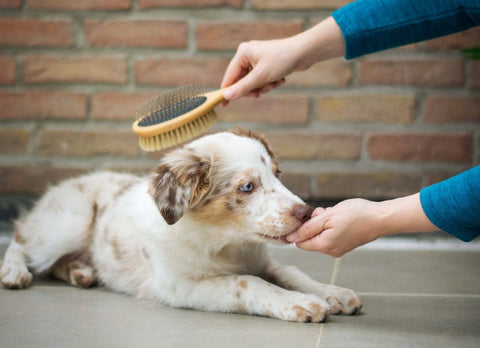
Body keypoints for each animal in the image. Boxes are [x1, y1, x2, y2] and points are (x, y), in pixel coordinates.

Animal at [0, 129, 360, 322]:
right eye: (247, 187)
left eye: (277, 174)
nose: (307, 212)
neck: (224, 245)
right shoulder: (180, 286)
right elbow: (246, 284)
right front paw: (298, 303)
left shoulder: (261, 261)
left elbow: (290, 272)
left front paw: (333, 293)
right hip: (67, 224)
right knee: (21, 238)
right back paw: (14, 272)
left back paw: (82, 272)